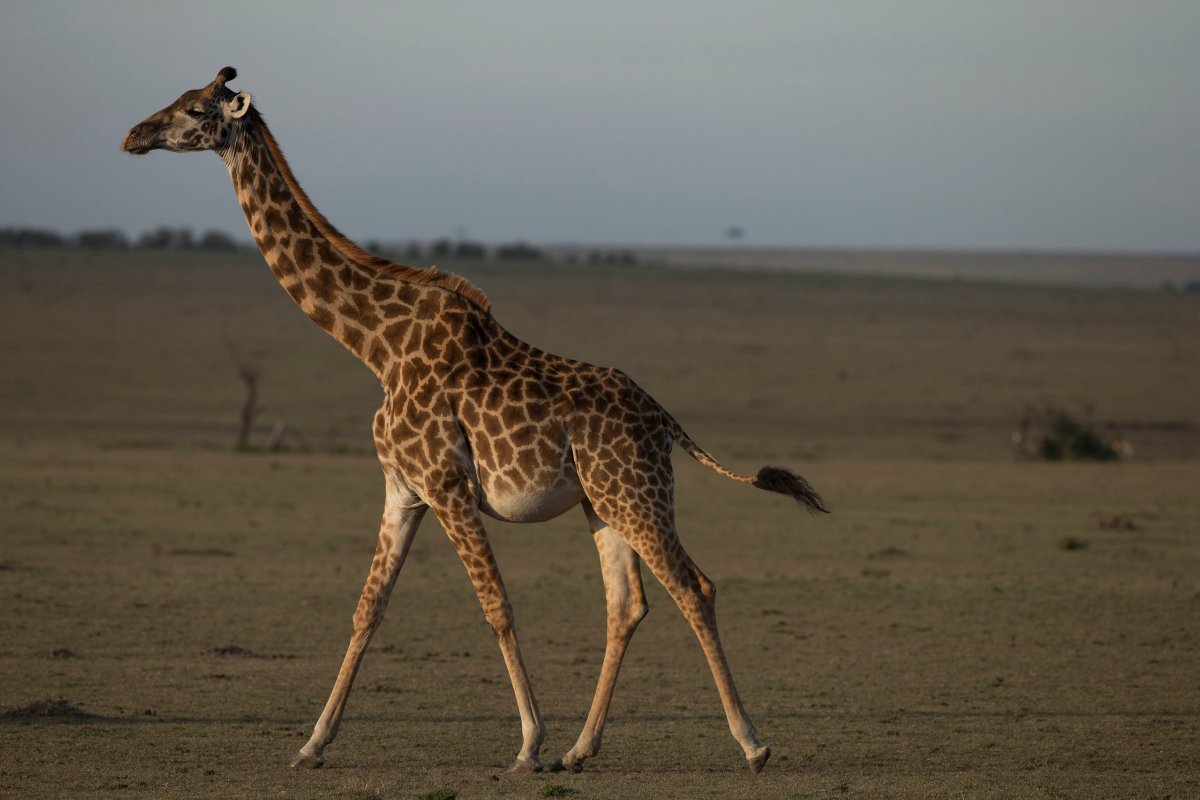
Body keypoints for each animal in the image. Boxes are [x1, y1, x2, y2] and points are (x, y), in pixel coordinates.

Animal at [123, 67, 828, 776]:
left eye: (195, 109)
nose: (134, 135)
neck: (377, 345)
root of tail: (664, 419)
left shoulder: (447, 485)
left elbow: (496, 606)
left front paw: (528, 744)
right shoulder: (402, 489)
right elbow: (367, 609)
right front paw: (312, 744)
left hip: (637, 495)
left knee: (694, 587)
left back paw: (750, 743)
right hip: (602, 502)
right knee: (627, 605)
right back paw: (581, 749)